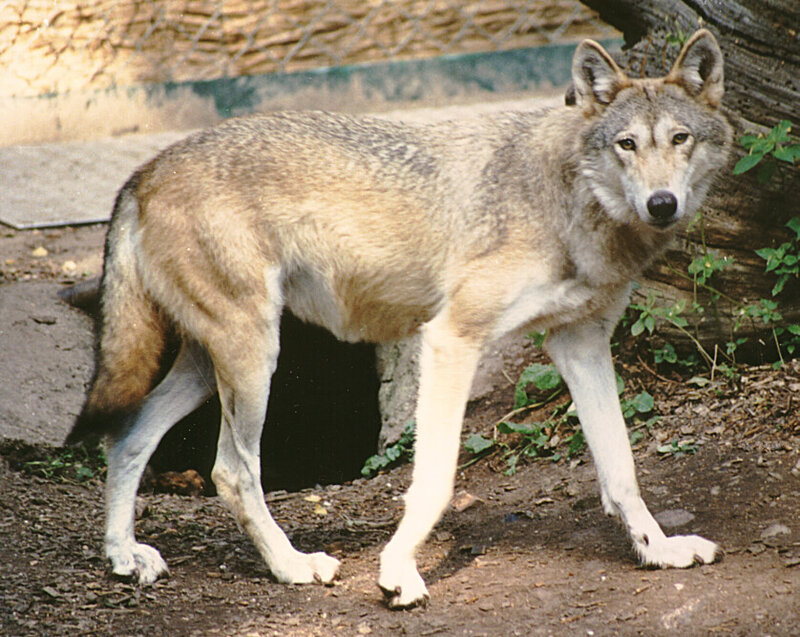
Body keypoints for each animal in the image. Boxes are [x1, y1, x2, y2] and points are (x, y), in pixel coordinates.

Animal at [67, 30, 732, 608]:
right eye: (627, 144)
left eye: (680, 139)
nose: (662, 204)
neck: (569, 196)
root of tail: (144, 171)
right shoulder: (452, 339)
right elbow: (435, 480)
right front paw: (397, 573)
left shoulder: (582, 344)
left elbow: (622, 470)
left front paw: (658, 550)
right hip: (253, 359)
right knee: (230, 471)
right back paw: (292, 567)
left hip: (212, 367)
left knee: (128, 435)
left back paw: (124, 556)